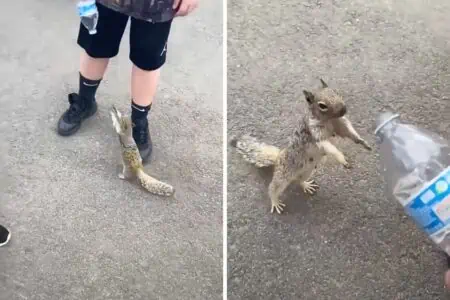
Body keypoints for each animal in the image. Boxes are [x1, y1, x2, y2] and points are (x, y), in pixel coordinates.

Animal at [230, 78, 370, 213]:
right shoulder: (314, 131)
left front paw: (362, 142)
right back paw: (275, 201)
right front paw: (342, 159)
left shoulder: (341, 124)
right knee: (274, 187)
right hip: (284, 174)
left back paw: (306, 185)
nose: (343, 109)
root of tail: (279, 156)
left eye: (337, 92)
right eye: (322, 105)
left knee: (299, 180)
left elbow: (349, 132)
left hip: (308, 170)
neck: (329, 120)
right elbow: (328, 146)